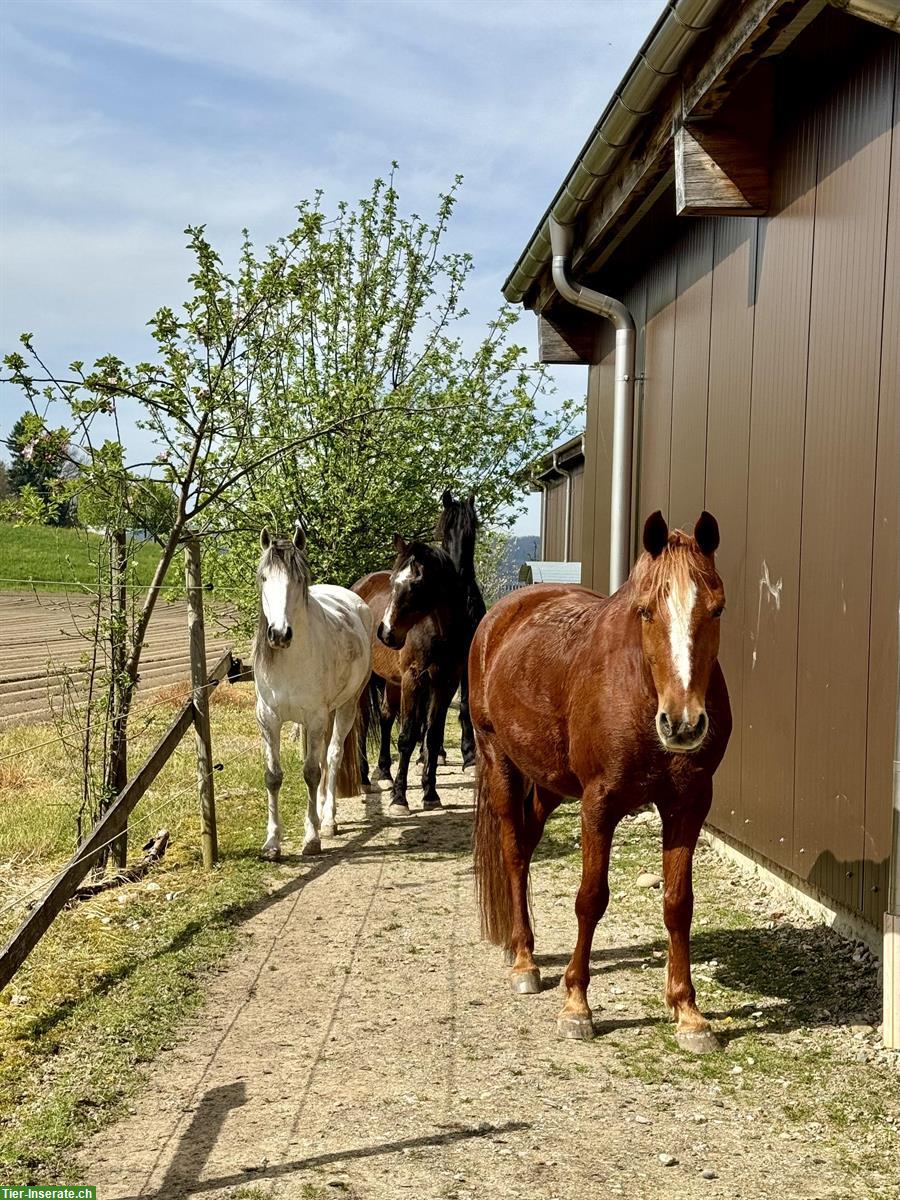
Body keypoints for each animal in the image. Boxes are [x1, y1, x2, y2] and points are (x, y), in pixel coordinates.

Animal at [254, 523, 374, 854]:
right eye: (264, 577)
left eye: (298, 580)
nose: (279, 634)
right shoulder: (268, 718)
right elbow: (273, 776)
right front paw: (272, 842)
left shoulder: (316, 716)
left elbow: (310, 772)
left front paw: (312, 838)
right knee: (320, 760)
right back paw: (320, 812)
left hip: (345, 707)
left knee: (331, 756)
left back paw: (328, 819)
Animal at [352, 540, 468, 811]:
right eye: (393, 580)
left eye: (416, 585)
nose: (385, 633)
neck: (440, 632)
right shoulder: (413, 681)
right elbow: (407, 737)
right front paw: (399, 798)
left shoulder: (445, 684)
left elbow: (432, 737)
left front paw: (431, 793)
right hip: (369, 682)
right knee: (362, 723)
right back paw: (364, 779)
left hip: (393, 682)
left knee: (385, 717)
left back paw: (384, 772)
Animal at [472, 511, 734, 1056]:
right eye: (646, 611)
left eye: (717, 609)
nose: (682, 724)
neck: (639, 688)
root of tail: (504, 613)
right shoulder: (600, 803)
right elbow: (590, 898)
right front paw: (577, 1005)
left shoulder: (688, 805)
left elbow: (678, 904)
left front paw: (688, 1011)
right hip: (499, 761)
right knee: (513, 852)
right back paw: (524, 960)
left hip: (550, 785)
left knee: (527, 842)